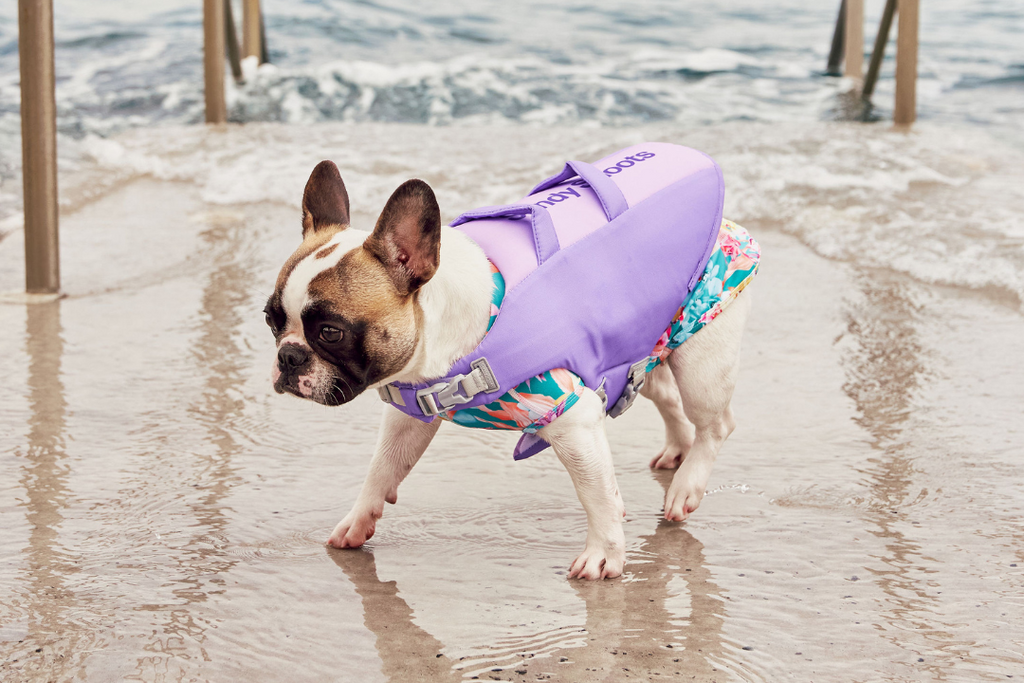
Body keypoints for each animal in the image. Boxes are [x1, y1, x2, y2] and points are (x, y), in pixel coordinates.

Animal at [266, 161, 753, 581]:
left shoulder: (572, 418)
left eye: (331, 332)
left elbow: (594, 494)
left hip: (701, 355)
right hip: (644, 350)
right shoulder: (412, 414)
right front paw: (358, 520)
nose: (288, 358)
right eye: (271, 320)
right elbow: (383, 466)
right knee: (665, 396)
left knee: (716, 422)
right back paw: (676, 452)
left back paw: (687, 486)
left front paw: (604, 554)